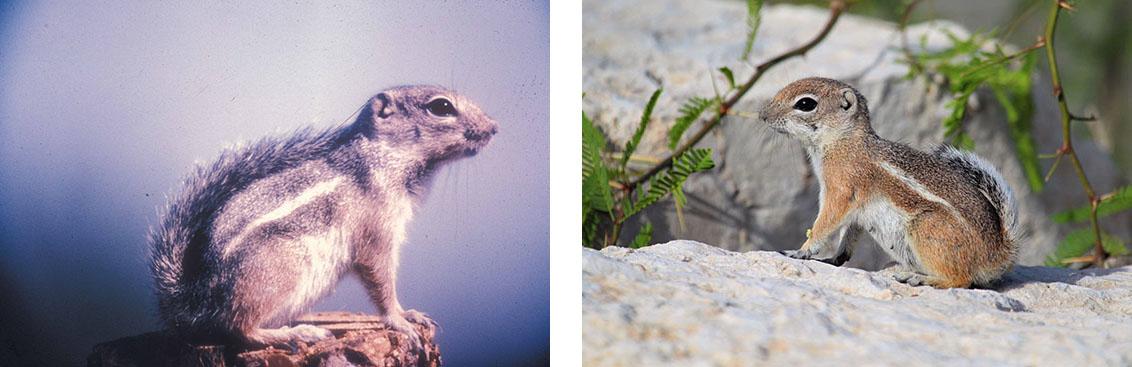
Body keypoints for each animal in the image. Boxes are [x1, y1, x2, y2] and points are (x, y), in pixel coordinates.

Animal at [148, 84, 498, 348]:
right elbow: (380, 280)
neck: (383, 158)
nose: (494, 128)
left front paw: (409, 314)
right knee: (238, 328)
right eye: (441, 107)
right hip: (278, 270)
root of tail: (195, 299)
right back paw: (297, 333)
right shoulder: (376, 232)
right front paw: (399, 321)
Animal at [760, 78, 1018, 289]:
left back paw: (920, 278)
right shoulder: (852, 208)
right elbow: (849, 232)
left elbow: (825, 223)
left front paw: (801, 251)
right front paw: (834, 258)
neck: (843, 141)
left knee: (961, 279)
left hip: (927, 228)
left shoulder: (842, 190)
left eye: (806, 104)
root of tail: (997, 254)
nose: (763, 114)